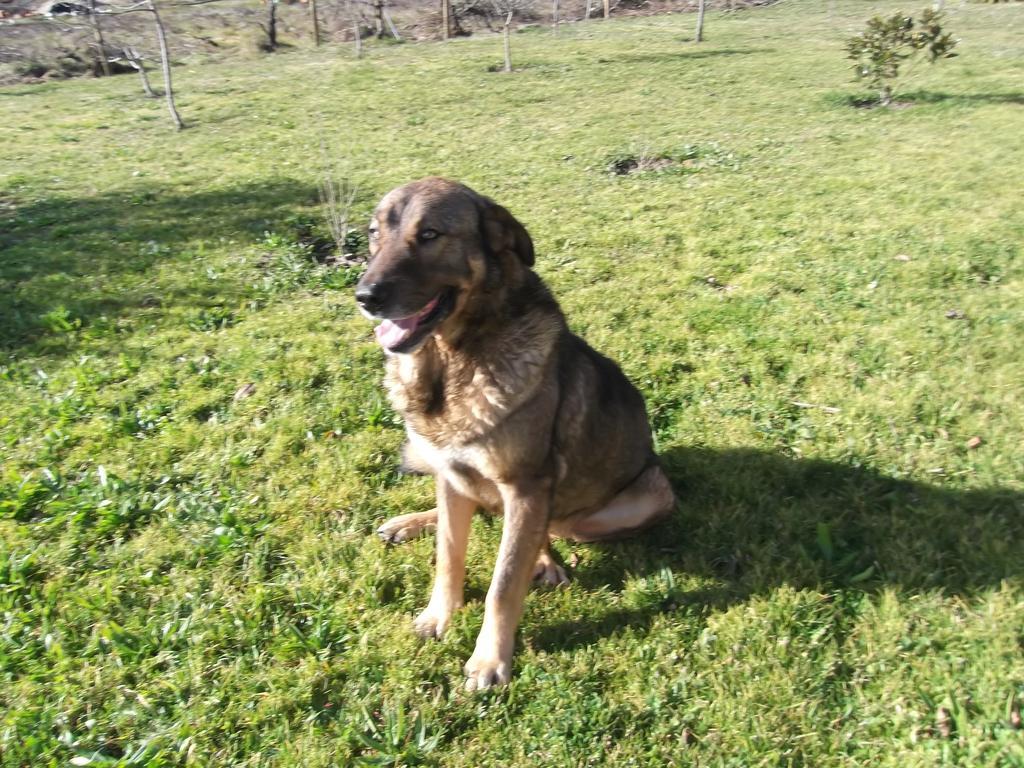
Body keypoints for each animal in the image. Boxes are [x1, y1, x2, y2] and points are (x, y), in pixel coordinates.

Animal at [356, 179, 675, 692]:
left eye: (430, 234)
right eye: (373, 234)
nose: (366, 296)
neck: (453, 363)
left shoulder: (525, 485)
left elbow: (503, 584)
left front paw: (489, 660)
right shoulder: (451, 475)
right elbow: (449, 555)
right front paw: (440, 615)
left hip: (636, 499)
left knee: (544, 531)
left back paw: (542, 561)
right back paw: (410, 523)